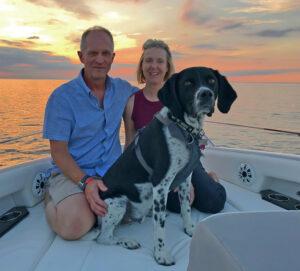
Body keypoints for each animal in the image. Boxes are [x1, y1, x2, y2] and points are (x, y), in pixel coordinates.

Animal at [92, 67, 236, 266]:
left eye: (212, 81)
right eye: (187, 83)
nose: (205, 94)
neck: (183, 129)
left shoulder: (185, 180)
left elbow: (186, 208)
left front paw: (190, 230)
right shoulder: (160, 184)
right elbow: (159, 228)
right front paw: (161, 256)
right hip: (118, 202)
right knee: (103, 238)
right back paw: (128, 241)